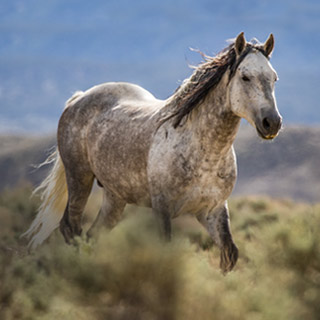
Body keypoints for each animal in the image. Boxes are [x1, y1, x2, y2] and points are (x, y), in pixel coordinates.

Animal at [23, 32, 282, 272]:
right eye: (245, 76)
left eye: (274, 78)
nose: (272, 123)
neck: (203, 153)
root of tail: (78, 98)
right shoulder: (162, 208)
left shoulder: (213, 210)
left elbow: (229, 254)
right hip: (79, 178)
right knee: (71, 227)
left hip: (115, 197)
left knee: (91, 236)